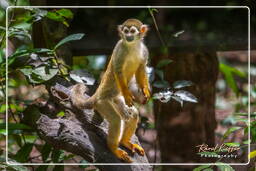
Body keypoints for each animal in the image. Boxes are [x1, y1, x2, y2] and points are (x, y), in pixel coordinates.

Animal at [70, 18, 150, 163]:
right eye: (126, 31)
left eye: (132, 31)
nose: (128, 36)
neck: (132, 45)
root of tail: (97, 95)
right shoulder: (119, 48)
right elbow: (118, 70)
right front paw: (127, 93)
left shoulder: (144, 50)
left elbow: (141, 68)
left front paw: (145, 91)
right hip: (102, 103)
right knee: (116, 120)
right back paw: (114, 148)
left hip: (117, 99)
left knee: (132, 114)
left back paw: (124, 142)